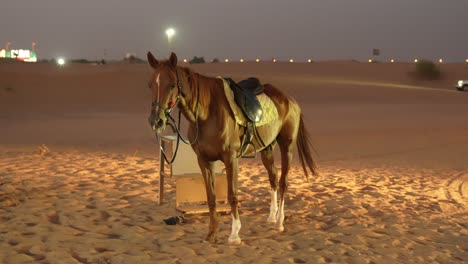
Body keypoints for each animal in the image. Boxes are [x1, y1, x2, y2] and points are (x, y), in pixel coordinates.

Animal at [147, 52, 318, 245]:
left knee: (283, 182)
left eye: (171, 85)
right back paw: (271, 216)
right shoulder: (204, 160)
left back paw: (279, 222)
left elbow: (232, 195)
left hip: (286, 147)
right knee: (273, 177)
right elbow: (211, 197)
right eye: (151, 84)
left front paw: (235, 234)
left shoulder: (231, 159)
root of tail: (291, 100)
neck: (207, 113)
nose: (156, 121)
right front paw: (211, 234)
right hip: (267, 148)